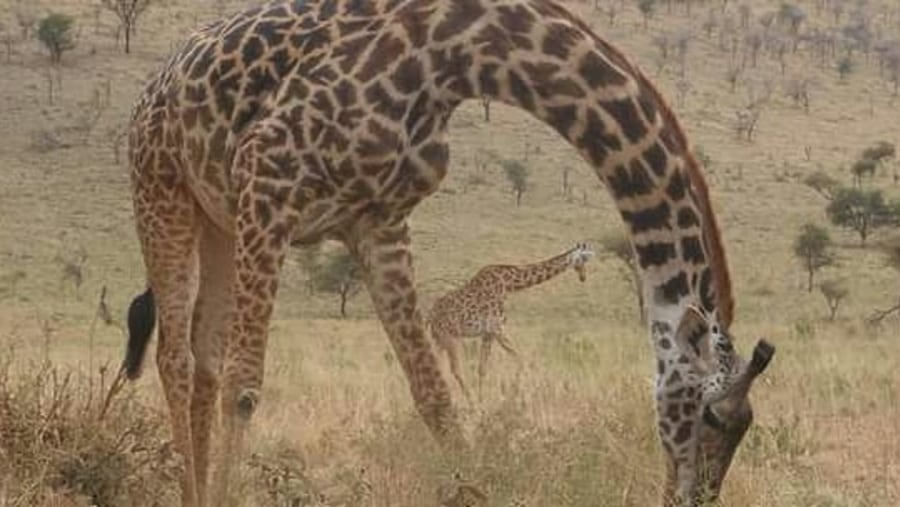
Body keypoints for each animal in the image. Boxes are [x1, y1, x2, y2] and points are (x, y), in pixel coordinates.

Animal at [428, 242, 592, 404]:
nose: (583, 277)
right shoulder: (497, 328)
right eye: (584, 258)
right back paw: (470, 400)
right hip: (450, 337)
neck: (509, 284)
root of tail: (431, 316)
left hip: (439, 339)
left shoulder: (488, 333)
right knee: (455, 369)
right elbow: (520, 359)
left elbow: (482, 368)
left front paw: (484, 398)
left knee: (436, 365)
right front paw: (512, 394)